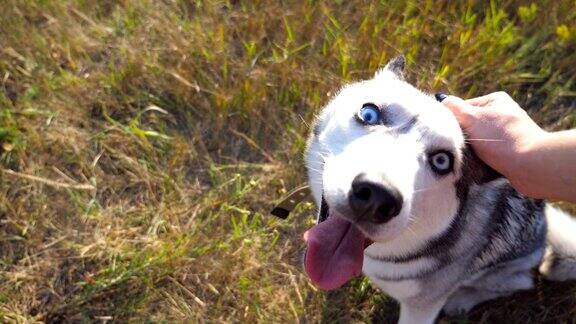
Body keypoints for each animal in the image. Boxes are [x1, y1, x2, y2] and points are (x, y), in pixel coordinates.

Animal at [304, 57, 576, 322]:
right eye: (369, 113)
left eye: (442, 161)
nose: (377, 197)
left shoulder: (423, 307)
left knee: (519, 282)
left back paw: (462, 300)